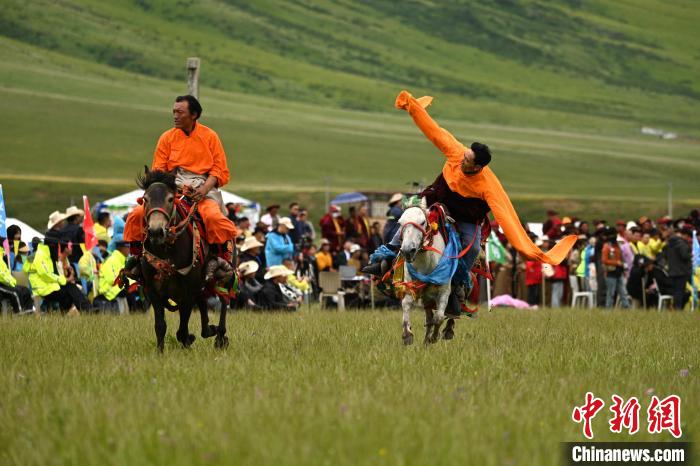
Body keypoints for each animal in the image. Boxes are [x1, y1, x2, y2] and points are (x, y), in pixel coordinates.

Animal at [134, 169, 227, 352]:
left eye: (170, 199)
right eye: (145, 199)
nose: (156, 232)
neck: (167, 251)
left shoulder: (188, 292)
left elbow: (182, 329)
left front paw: (188, 342)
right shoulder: (153, 291)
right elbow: (160, 326)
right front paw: (160, 352)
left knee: (225, 301)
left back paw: (220, 337)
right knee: (203, 302)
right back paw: (209, 329)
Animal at [400, 198, 454, 344]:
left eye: (422, 222)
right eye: (400, 223)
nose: (407, 250)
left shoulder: (444, 291)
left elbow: (439, 317)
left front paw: (433, 338)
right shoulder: (411, 286)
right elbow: (406, 304)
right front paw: (407, 335)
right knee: (429, 317)